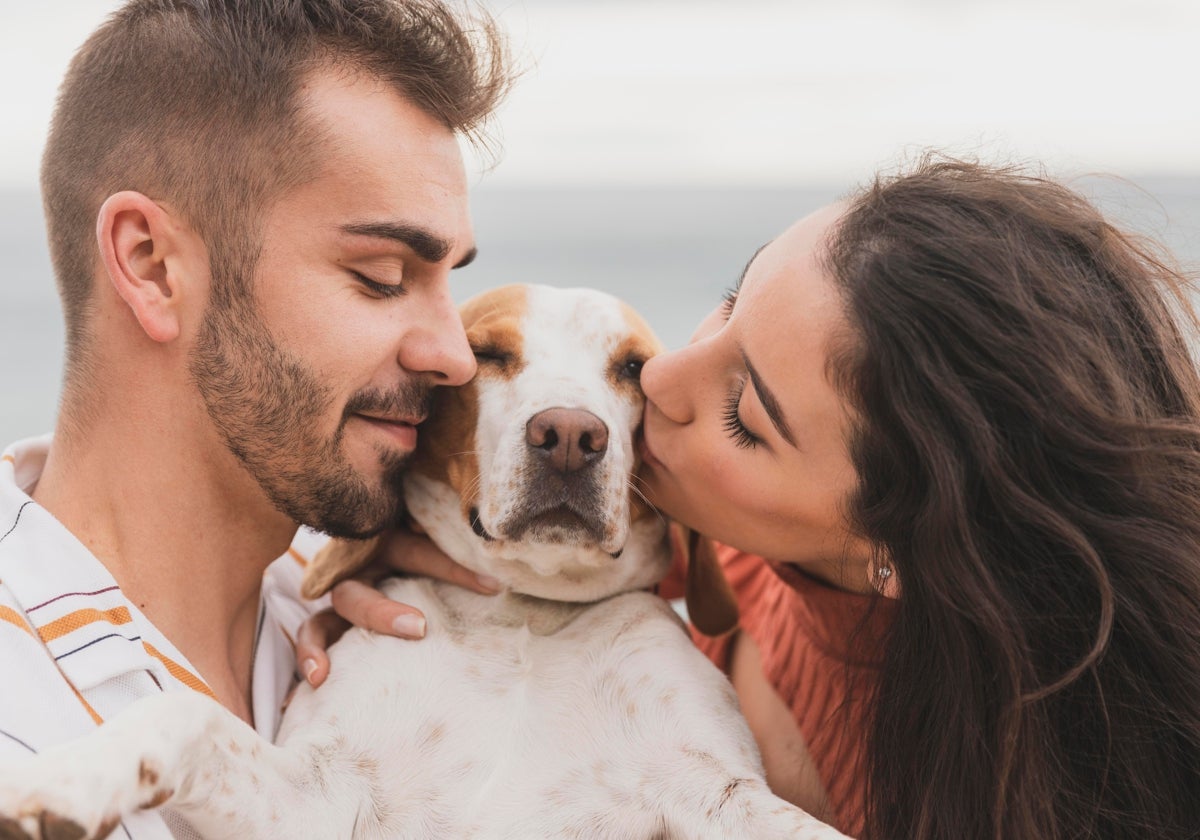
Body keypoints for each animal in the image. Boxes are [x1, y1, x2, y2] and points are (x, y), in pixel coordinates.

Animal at [0, 286, 854, 840]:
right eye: (488, 353)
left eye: (635, 369)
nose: (570, 436)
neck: (526, 618)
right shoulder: (314, 799)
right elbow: (188, 720)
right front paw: (61, 780)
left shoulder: (720, 795)